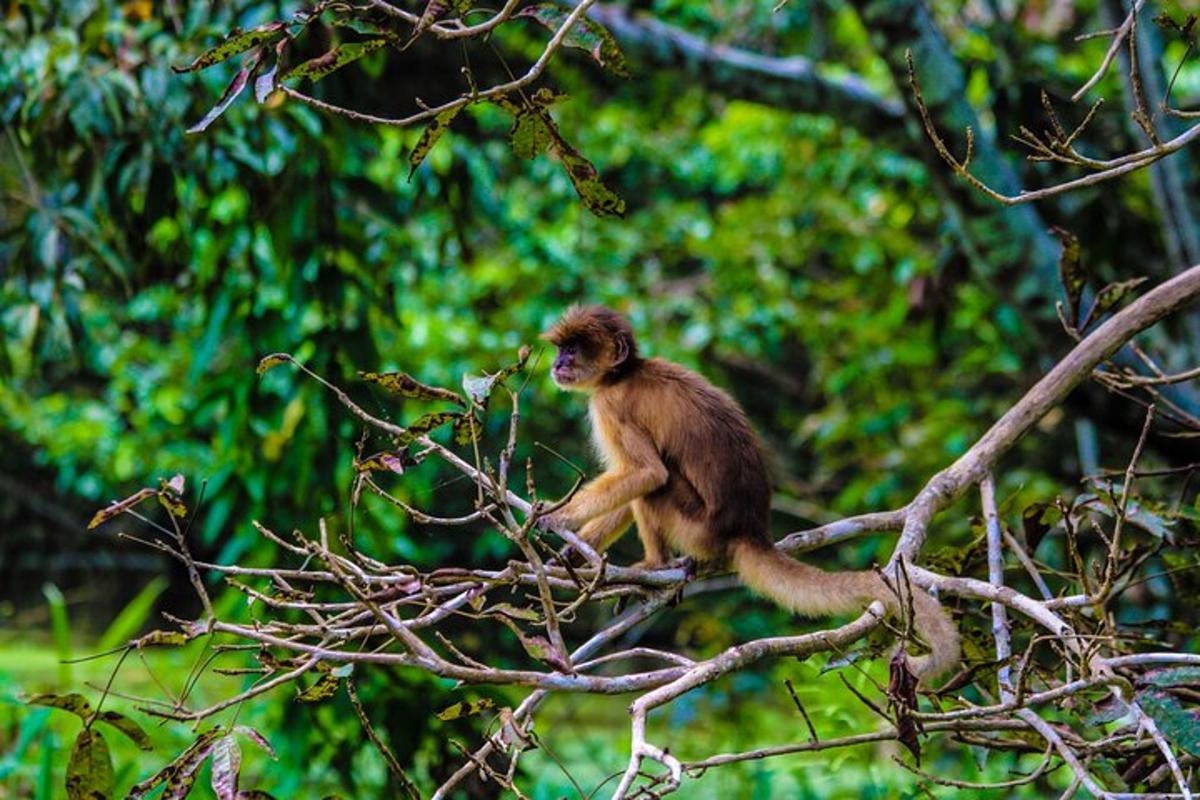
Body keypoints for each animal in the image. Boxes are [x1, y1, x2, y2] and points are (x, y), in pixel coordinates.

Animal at [540, 307, 960, 681]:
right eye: (561, 348)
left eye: (573, 349)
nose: (558, 362)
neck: (624, 374)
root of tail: (749, 528)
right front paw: (572, 554)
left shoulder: (610, 405)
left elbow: (647, 474)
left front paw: (558, 517)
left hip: (695, 525)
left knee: (657, 486)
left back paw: (656, 565)